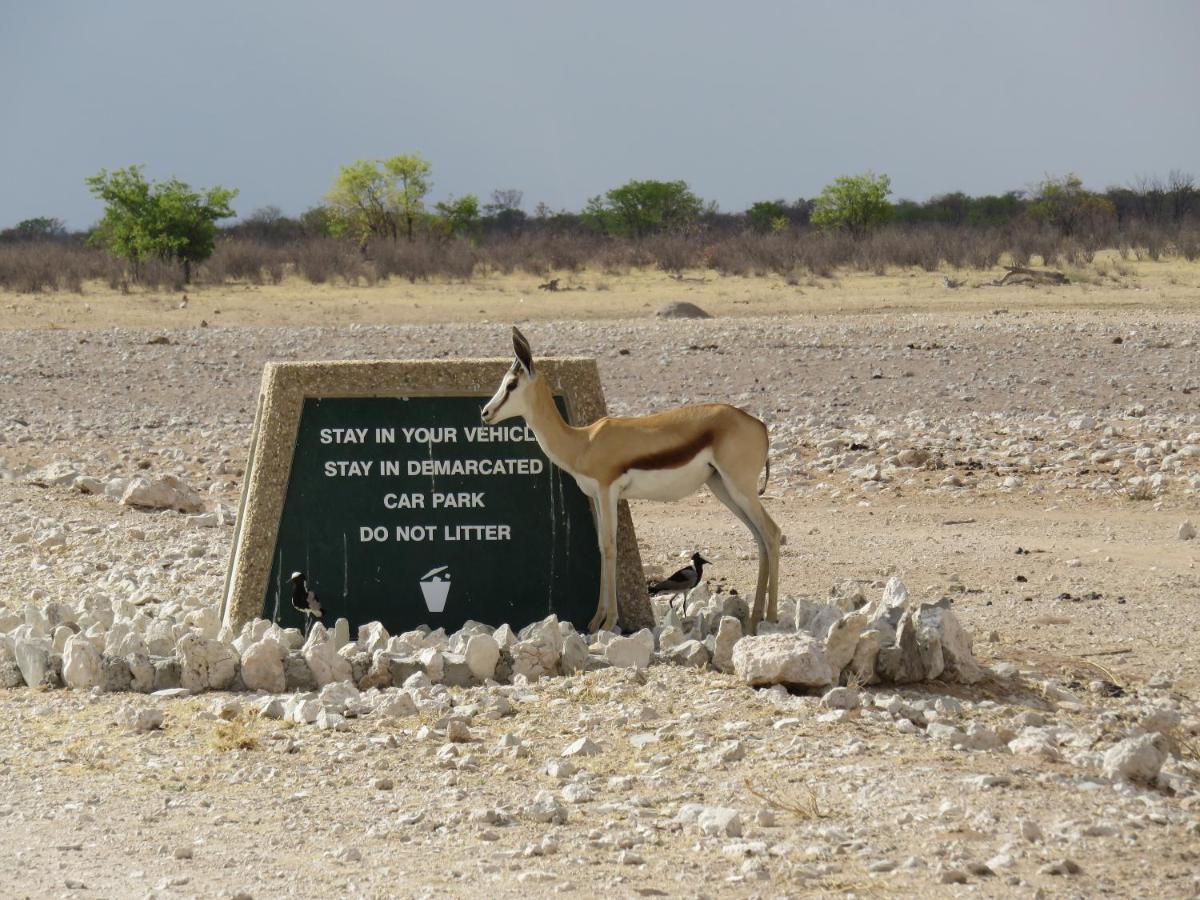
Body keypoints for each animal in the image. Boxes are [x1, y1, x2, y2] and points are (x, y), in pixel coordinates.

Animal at [482, 328, 782, 633]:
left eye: (511, 384)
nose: (485, 413)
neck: (583, 443)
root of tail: (759, 425)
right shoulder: (596, 495)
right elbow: (601, 546)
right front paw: (595, 621)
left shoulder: (608, 490)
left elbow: (610, 546)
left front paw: (608, 622)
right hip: (723, 488)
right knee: (759, 537)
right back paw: (755, 618)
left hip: (740, 488)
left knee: (772, 533)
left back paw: (770, 616)